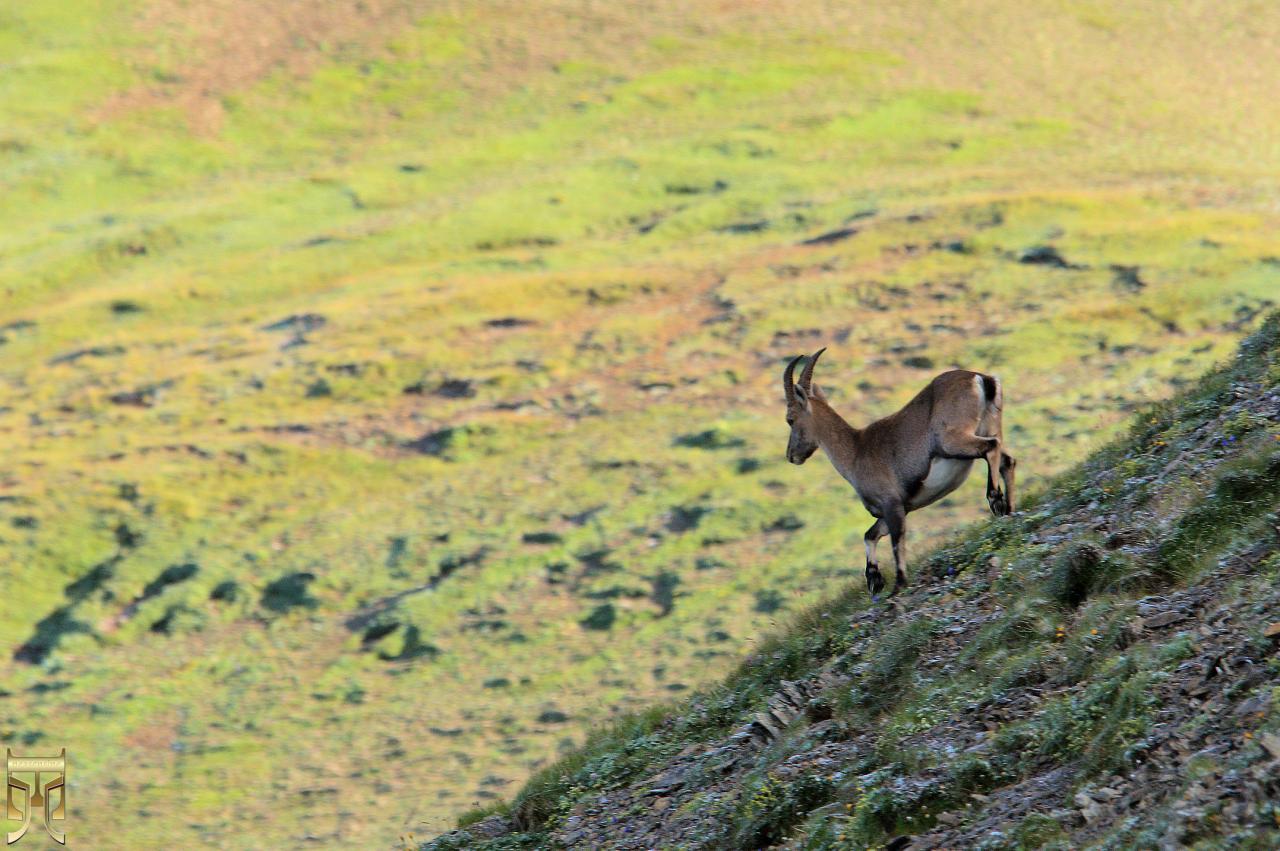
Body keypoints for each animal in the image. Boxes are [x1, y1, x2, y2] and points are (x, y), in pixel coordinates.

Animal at [783, 348, 1013, 593]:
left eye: (790, 419)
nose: (791, 455)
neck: (855, 451)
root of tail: (981, 379)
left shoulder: (891, 504)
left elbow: (896, 541)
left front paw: (898, 583)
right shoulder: (897, 508)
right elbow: (870, 535)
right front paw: (874, 579)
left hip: (953, 440)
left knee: (991, 448)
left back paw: (996, 500)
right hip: (989, 426)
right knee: (1007, 461)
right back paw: (1010, 509)